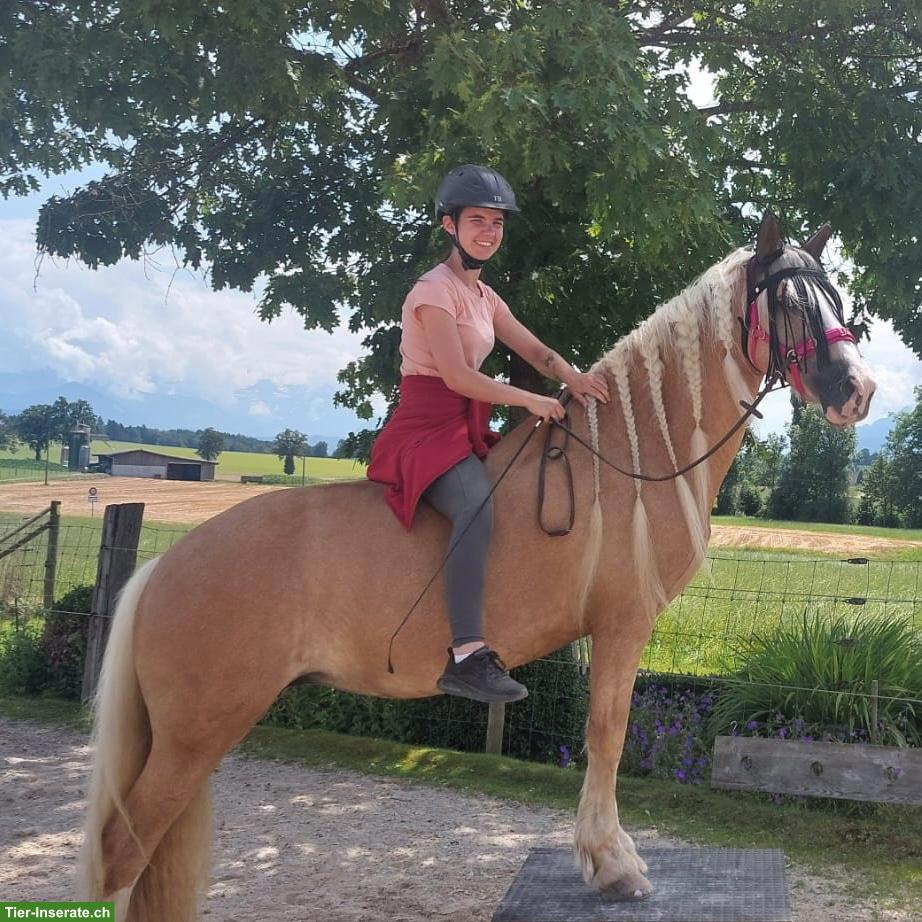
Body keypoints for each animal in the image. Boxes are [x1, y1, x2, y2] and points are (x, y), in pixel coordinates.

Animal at [80, 213, 876, 920]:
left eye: (836, 301)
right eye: (790, 302)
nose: (858, 390)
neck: (627, 459)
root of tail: (162, 569)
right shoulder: (623, 625)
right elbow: (608, 734)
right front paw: (611, 864)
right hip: (192, 737)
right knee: (120, 852)